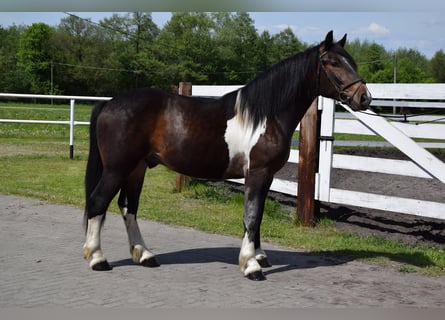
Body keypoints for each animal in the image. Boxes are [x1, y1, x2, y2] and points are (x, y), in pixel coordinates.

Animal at [83, 30, 372, 280]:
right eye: (333, 63)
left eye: (352, 62)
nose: (364, 97)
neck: (265, 116)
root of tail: (109, 104)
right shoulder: (257, 173)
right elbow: (251, 216)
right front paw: (251, 265)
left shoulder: (266, 176)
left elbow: (258, 215)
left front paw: (259, 255)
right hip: (117, 169)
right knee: (98, 202)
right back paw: (98, 259)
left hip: (137, 168)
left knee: (128, 207)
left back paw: (144, 255)